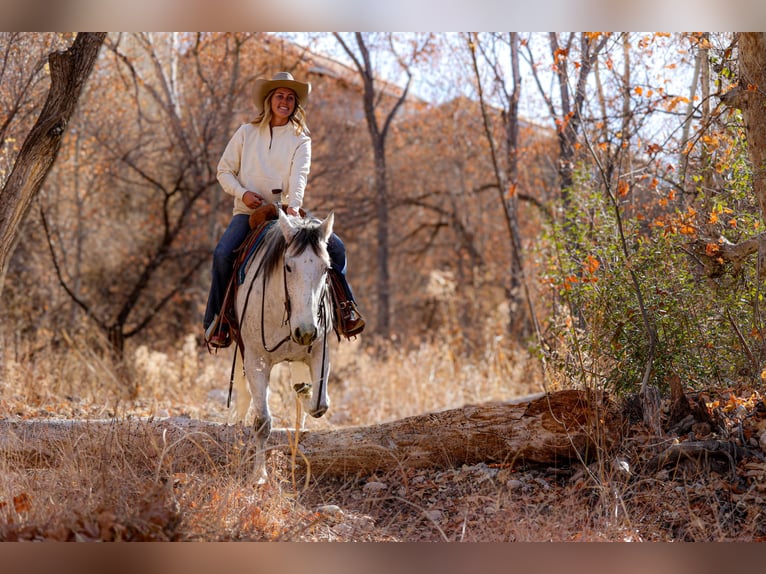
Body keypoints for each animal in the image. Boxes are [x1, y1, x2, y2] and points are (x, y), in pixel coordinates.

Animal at [230, 209, 334, 484]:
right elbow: (262, 421)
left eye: (326, 268)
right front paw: (259, 475)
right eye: (288, 266)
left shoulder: (320, 350)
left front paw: (307, 395)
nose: (306, 332)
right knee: (244, 397)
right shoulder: (255, 360)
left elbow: (319, 404)